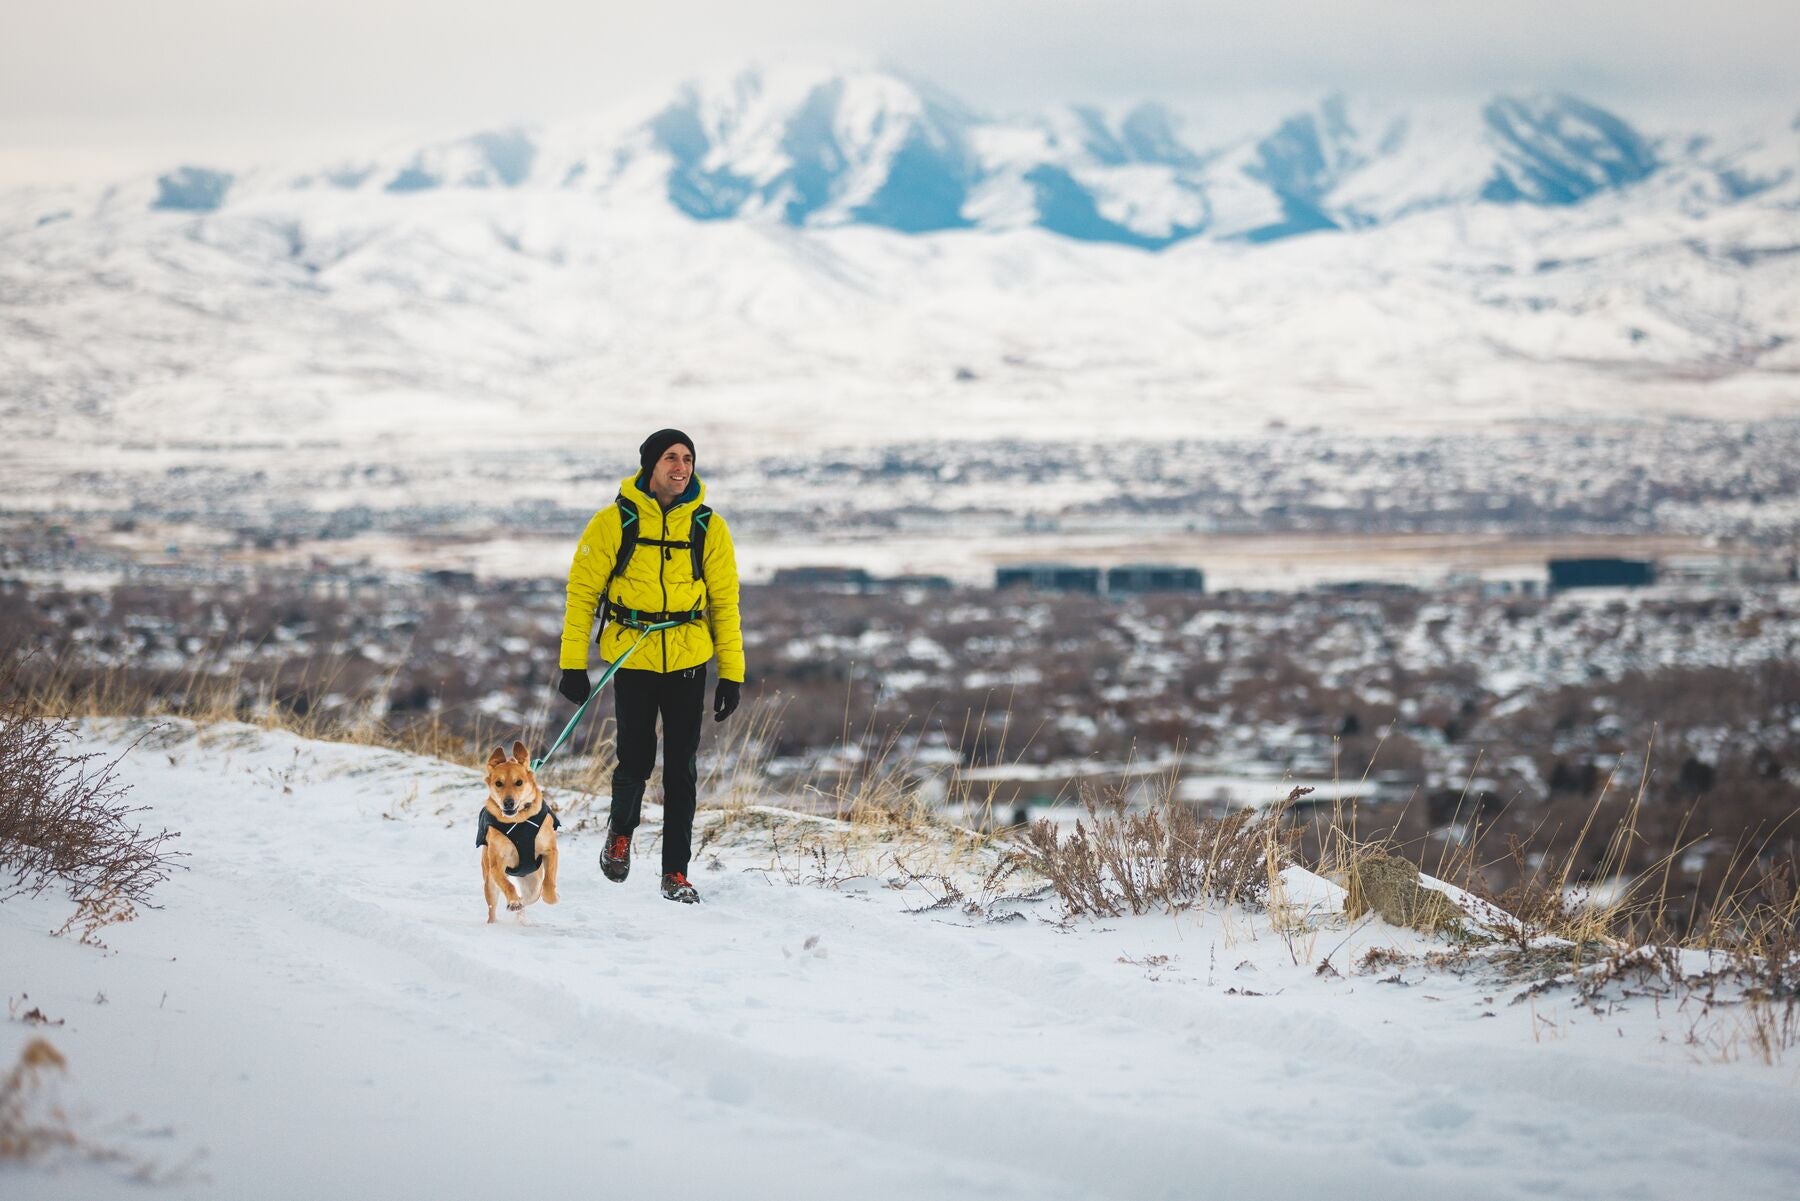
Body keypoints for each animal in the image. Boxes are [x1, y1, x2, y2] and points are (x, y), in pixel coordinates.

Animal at [475, 741, 558, 929]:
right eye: (498, 783)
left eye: (519, 782)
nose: (508, 802)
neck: (518, 820)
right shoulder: (496, 865)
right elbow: (508, 885)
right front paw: (513, 901)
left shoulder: (550, 850)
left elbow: (549, 880)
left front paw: (551, 896)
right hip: (489, 882)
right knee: (492, 907)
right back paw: (498, 918)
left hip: (532, 880)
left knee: (532, 896)